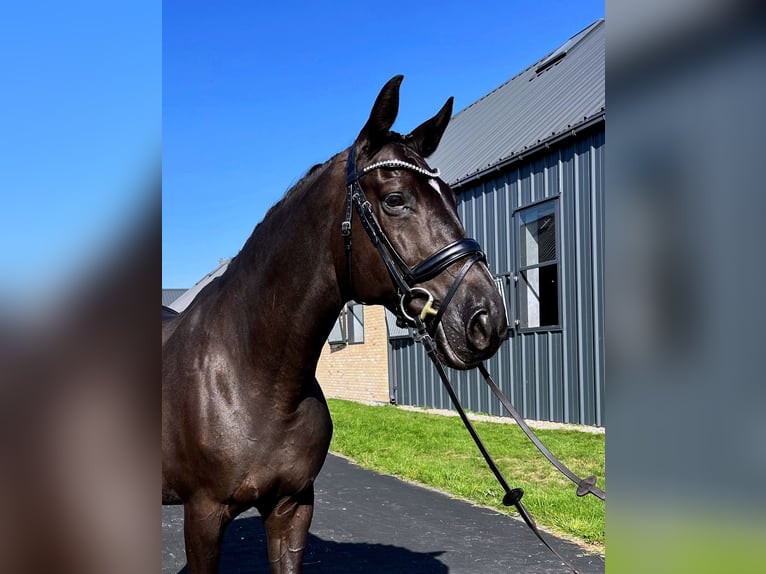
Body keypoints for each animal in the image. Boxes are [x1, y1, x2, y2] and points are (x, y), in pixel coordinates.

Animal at [163, 77, 510, 574]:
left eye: (453, 197)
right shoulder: (203, 517)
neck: (252, 378)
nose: (486, 319)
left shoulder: (292, 507)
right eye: (395, 200)